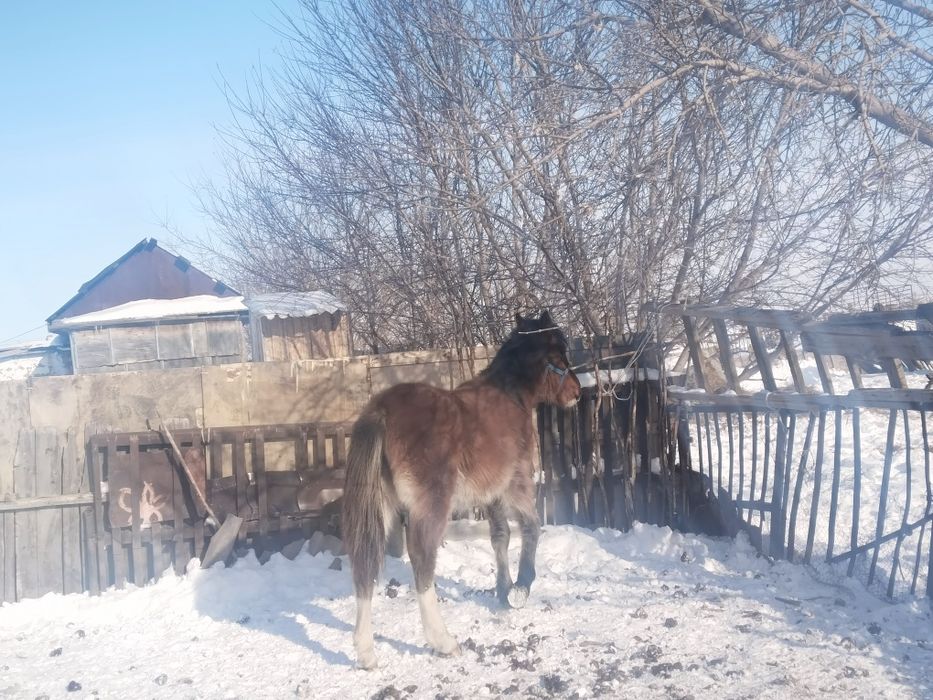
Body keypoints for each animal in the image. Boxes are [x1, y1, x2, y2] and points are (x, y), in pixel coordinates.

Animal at [341, 310, 582, 669]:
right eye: (559, 355)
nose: (577, 392)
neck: (510, 398)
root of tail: (381, 410)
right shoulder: (517, 483)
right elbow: (531, 527)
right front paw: (521, 588)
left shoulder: (491, 494)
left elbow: (500, 537)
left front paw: (503, 591)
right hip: (432, 505)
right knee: (421, 559)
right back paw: (443, 641)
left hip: (379, 507)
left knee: (365, 564)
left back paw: (366, 652)